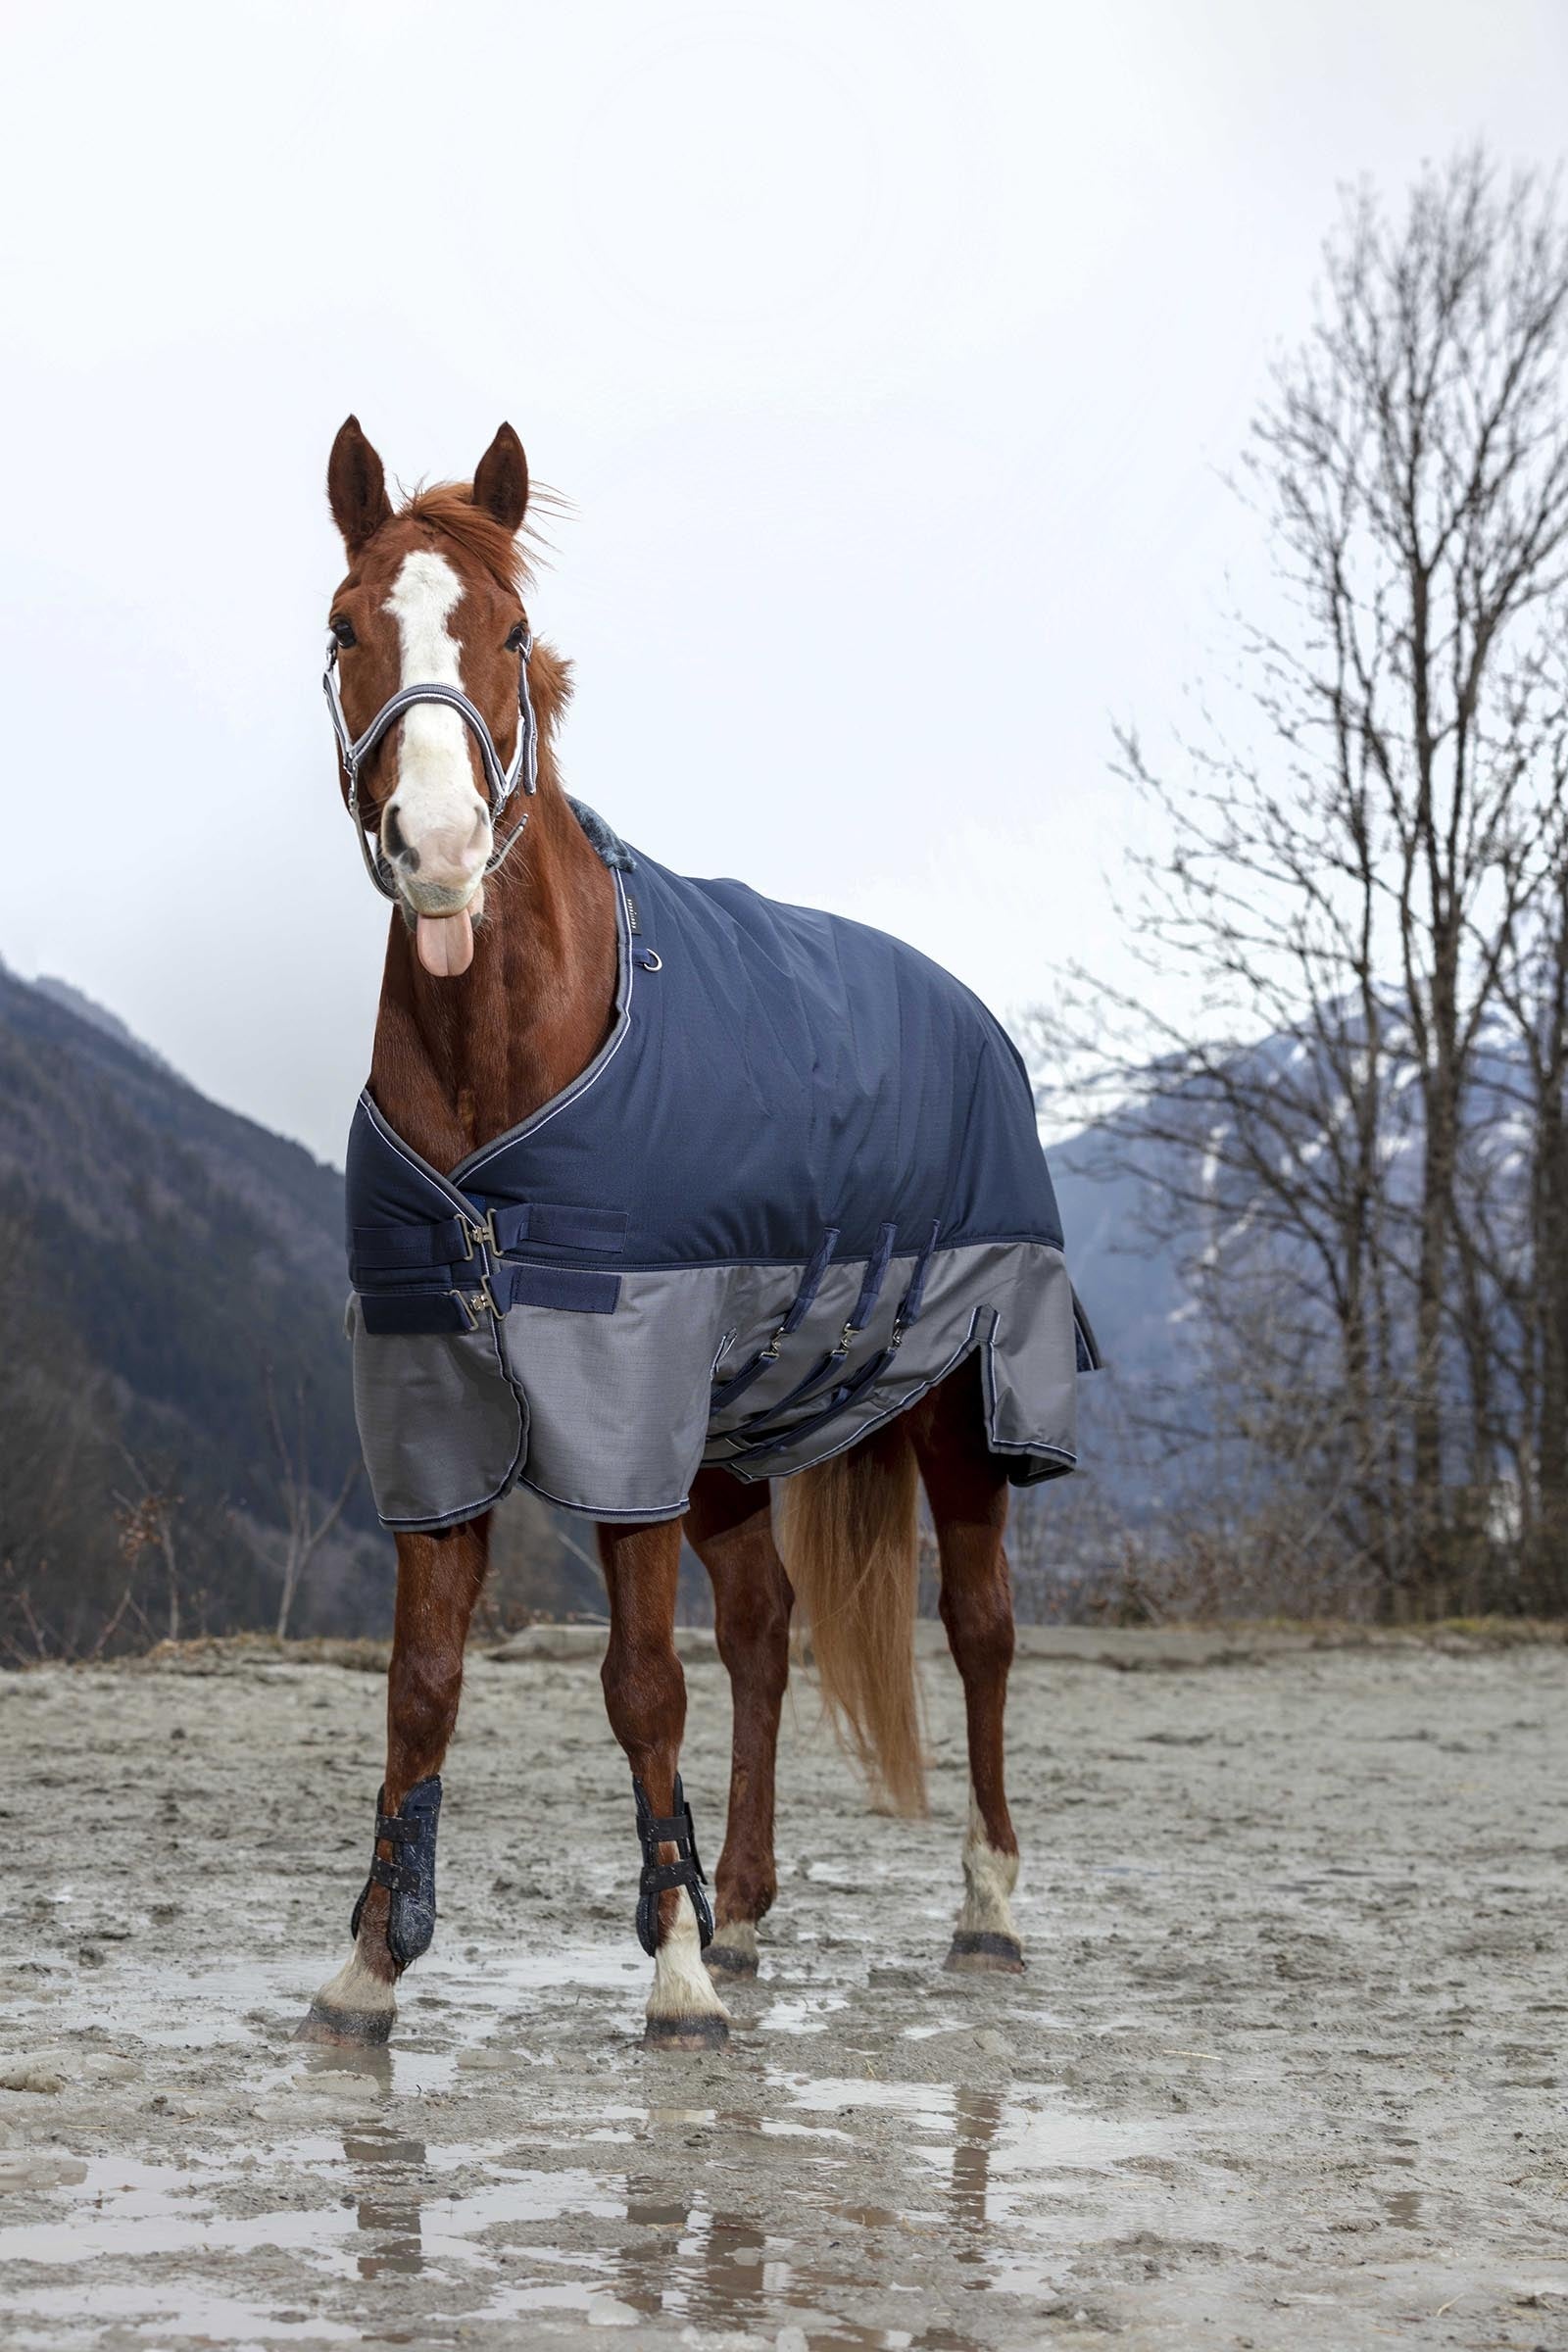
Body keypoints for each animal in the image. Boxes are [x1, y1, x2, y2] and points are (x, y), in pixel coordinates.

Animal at [301, 419, 1092, 2051]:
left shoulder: (627, 1407)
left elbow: (641, 1687)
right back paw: (742, 1904)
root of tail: (974, 1013)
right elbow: (422, 1683)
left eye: (512, 635)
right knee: (768, 1632)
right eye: (347, 628)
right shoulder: (437, 1406)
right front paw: (369, 1967)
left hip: (968, 1400)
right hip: (736, 1430)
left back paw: (983, 1907)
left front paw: (667, 1973)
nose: (440, 846)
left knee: (982, 1628)